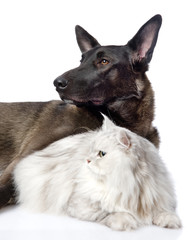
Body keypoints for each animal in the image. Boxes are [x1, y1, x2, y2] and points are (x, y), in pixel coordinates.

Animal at [13, 116, 181, 231]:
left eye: (102, 154)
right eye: (91, 150)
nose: (87, 160)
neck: (131, 185)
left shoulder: (159, 196)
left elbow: (163, 210)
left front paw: (170, 221)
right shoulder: (78, 203)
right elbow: (107, 212)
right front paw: (126, 222)